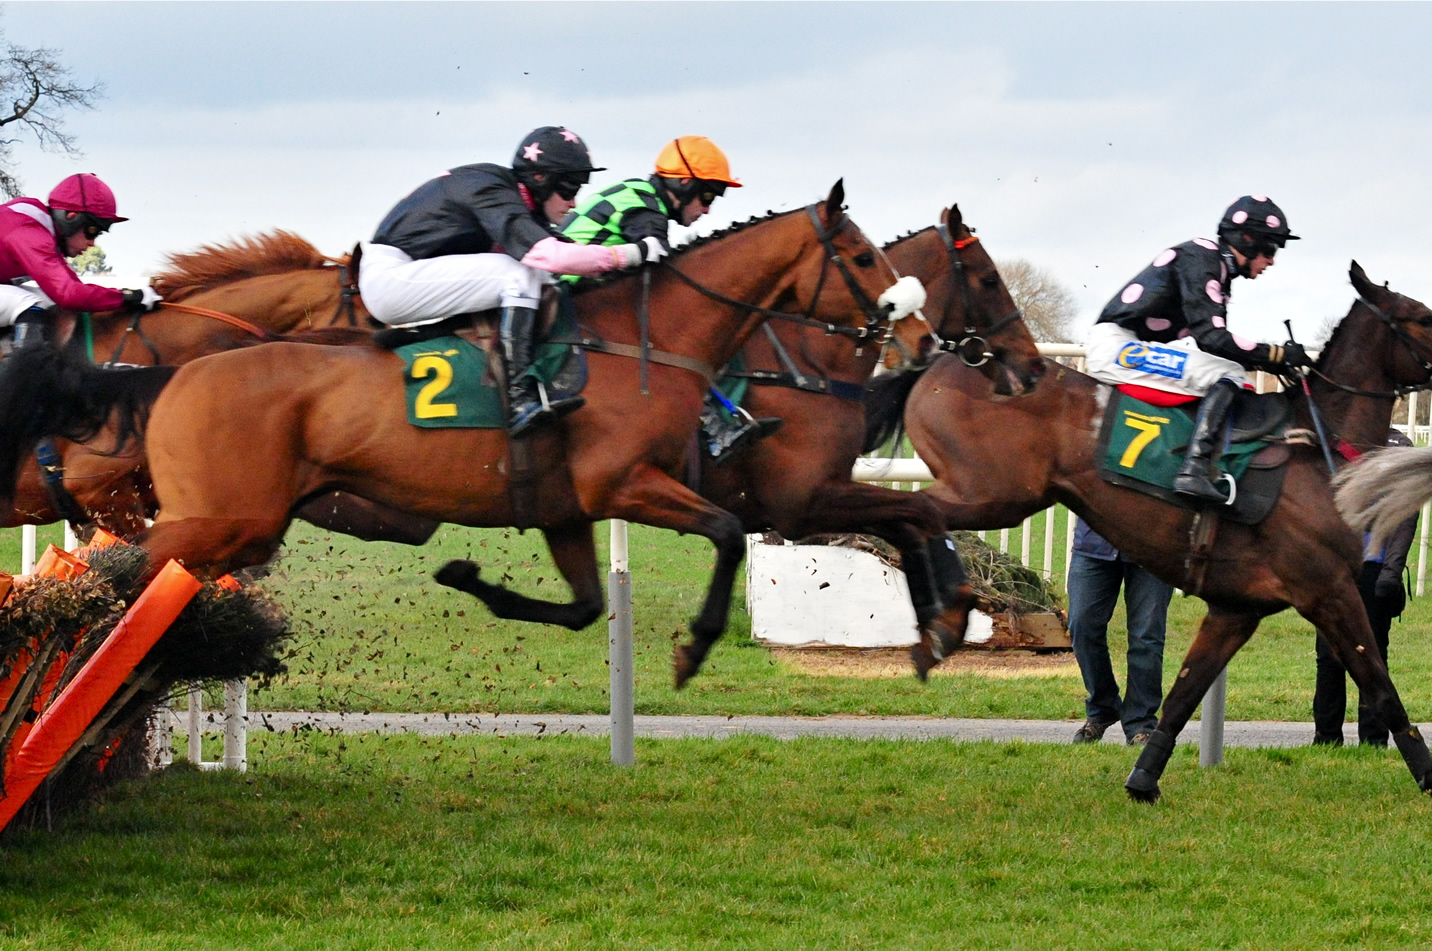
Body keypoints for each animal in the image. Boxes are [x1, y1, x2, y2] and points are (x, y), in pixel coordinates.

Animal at [0, 184, 910, 658]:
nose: (906, 321)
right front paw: (695, 645)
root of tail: (179, 372)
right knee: (123, 571)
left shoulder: (567, 506)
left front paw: (468, 577)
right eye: (861, 255)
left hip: (236, 520)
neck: (640, 338)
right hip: (219, 516)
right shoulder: (626, 483)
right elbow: (723, 531)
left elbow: (585, 604)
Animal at [675, 206, 1048, 684]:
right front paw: (950, 614)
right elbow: (920, 511)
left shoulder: (823, 498)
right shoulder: (803, 504)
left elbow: (909, 523)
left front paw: (934, 621)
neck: (807, 370)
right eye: (988, 279)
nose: (1034, 365)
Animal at [864, 262, 1432, 802]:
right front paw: (1427, 778)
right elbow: (1381, 685)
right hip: (992, 492)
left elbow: (1184, 693)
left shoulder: (1238, 608)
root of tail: (952, 358)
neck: (1318, 446)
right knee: (909, 510)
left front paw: (1143, 781)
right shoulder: (1326, 590)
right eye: (1424, 317)